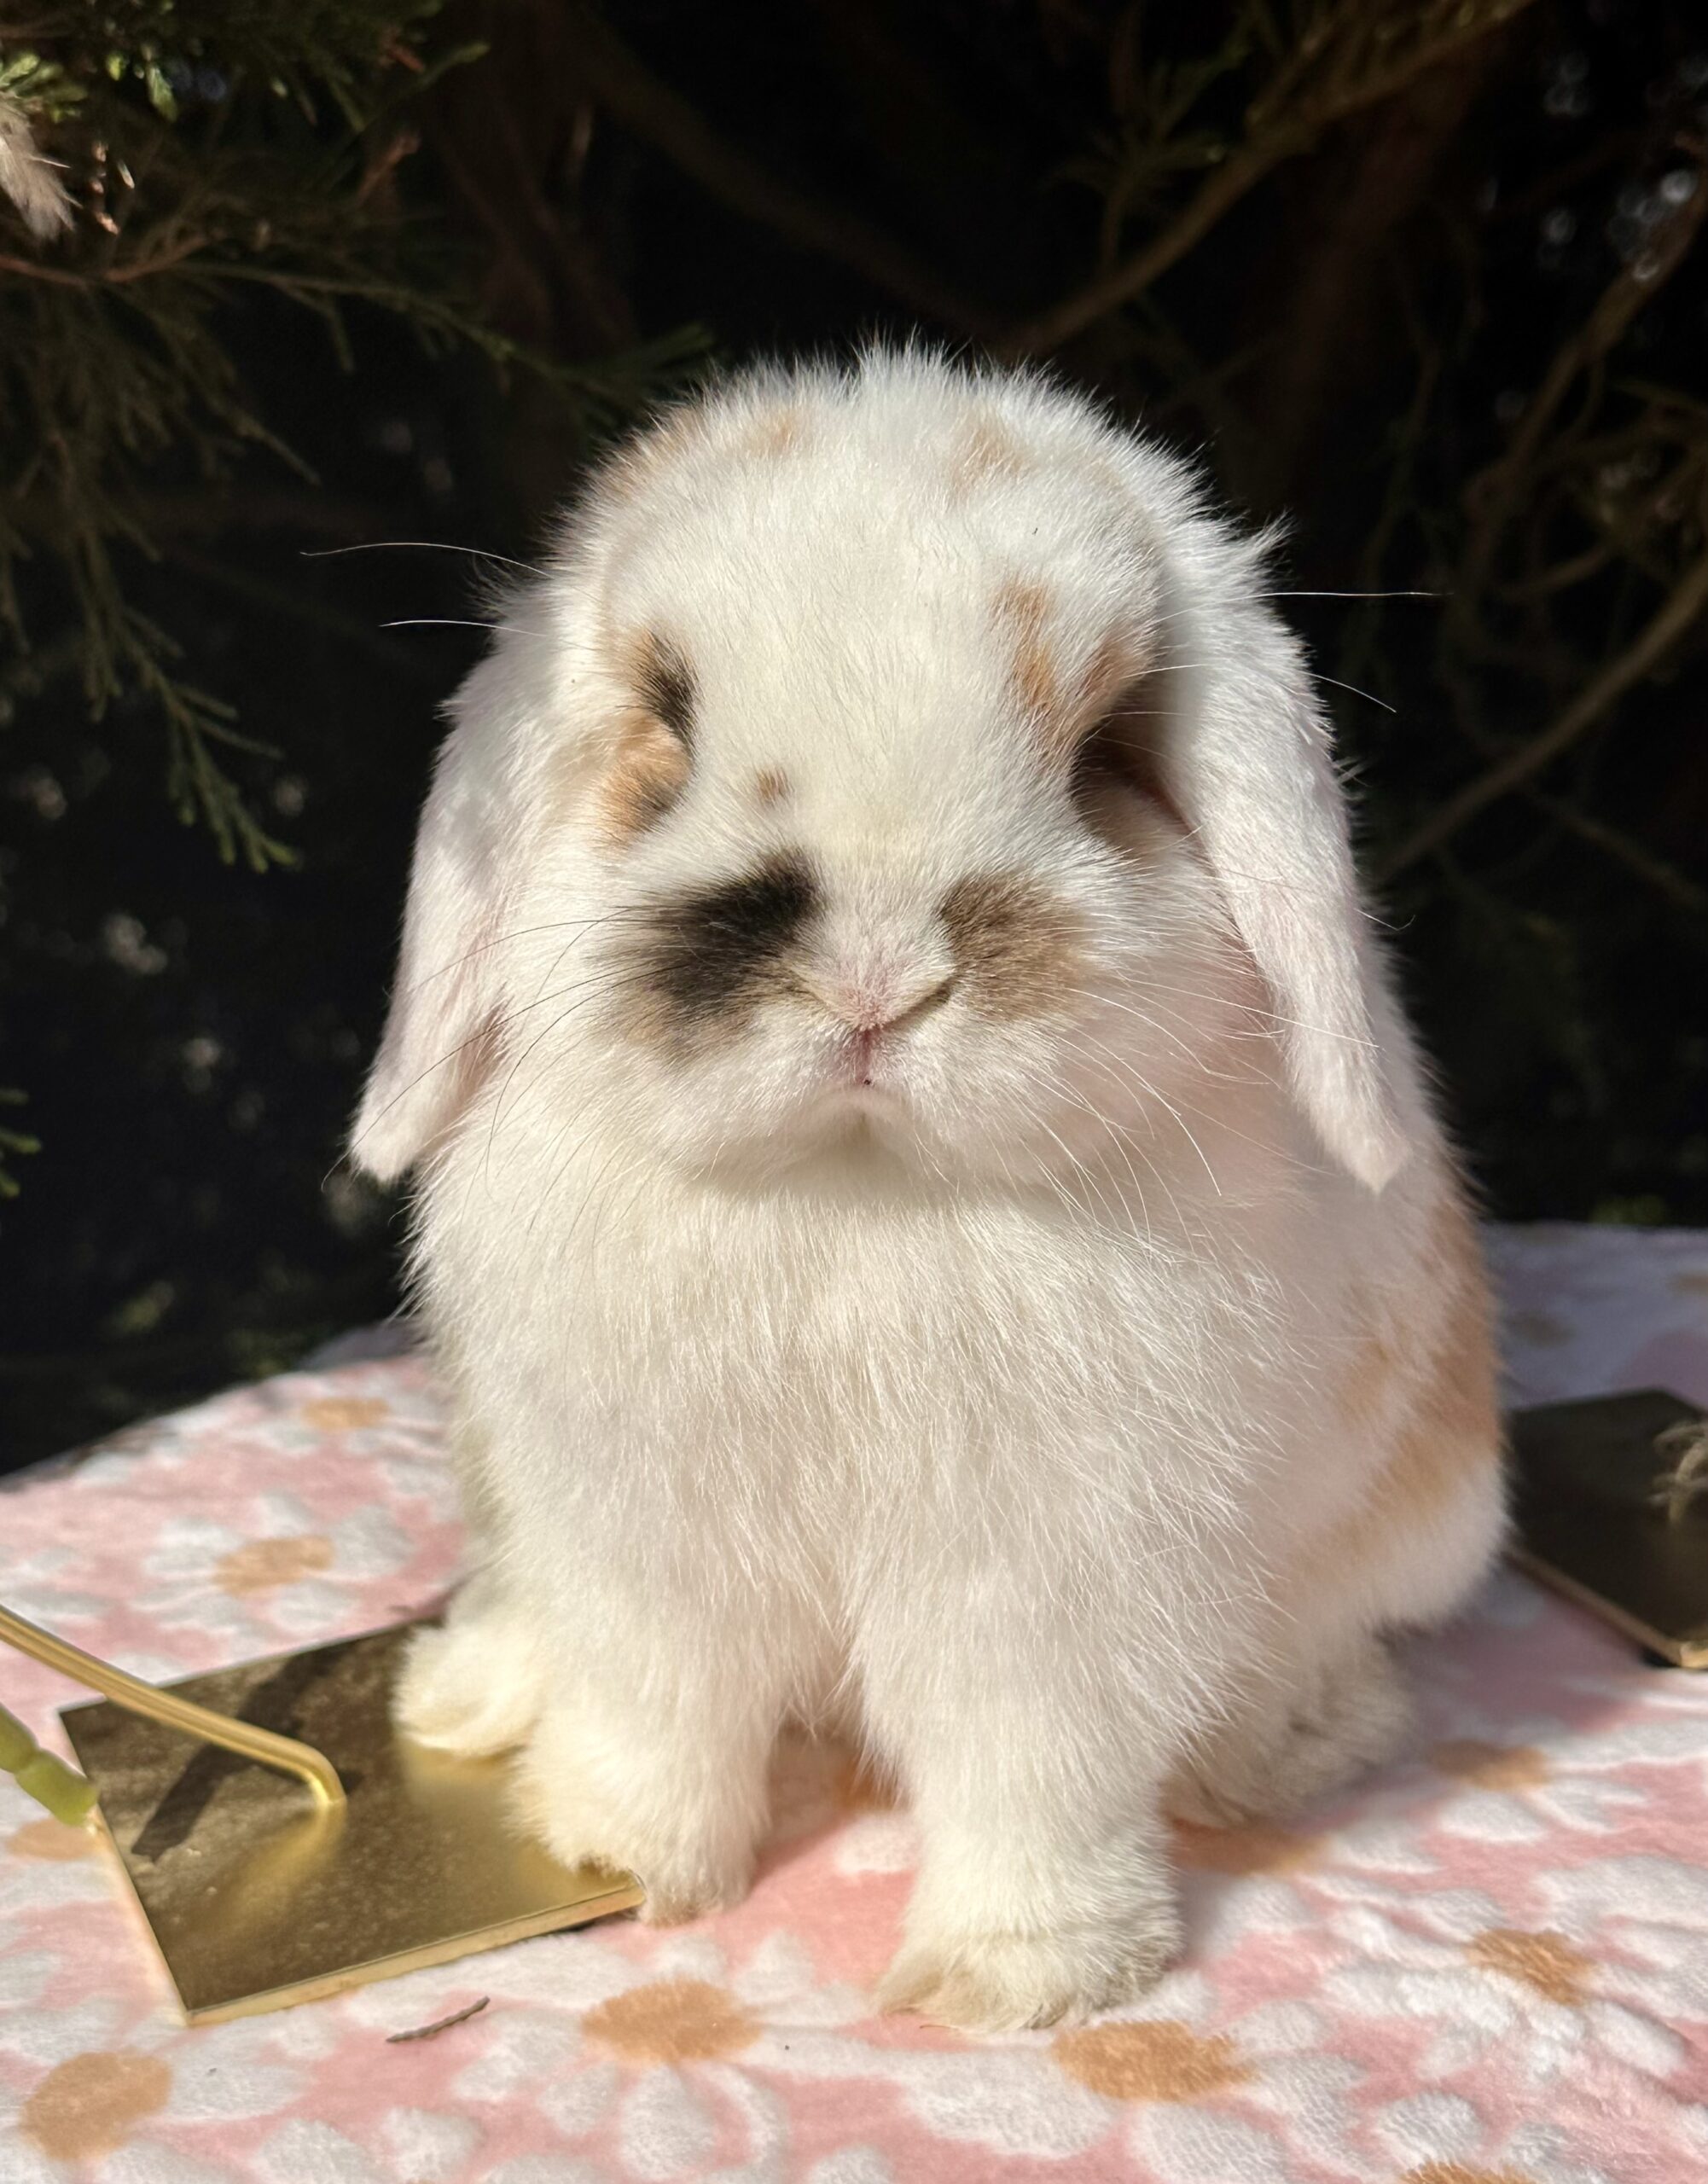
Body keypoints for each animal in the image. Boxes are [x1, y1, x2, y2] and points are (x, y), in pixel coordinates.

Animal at [351, 349, 1504, 2034]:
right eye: (666, 722)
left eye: (1104, 750)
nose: (873, 976)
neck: (857, 1196)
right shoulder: (640, 1535)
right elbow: (657, 1707)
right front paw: (613, 1854)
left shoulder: (1055, 1584)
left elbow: (1033, 1774)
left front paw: (1019, 1983)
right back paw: (465, 1696)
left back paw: (1280, 1746)